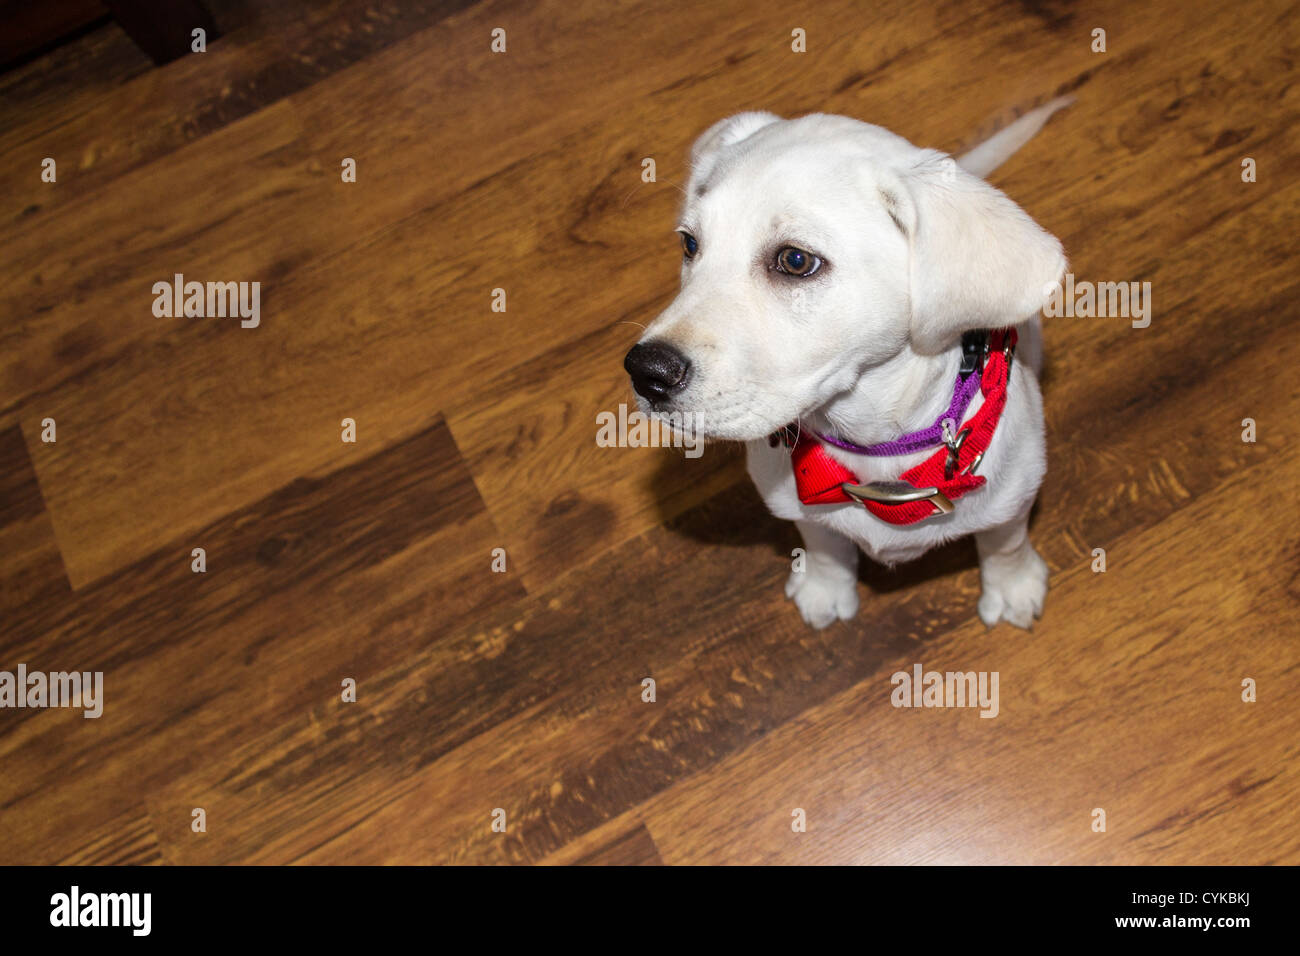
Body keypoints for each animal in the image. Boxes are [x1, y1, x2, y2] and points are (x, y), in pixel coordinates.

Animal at [624, 102, 1071, 629]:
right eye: (690, 244)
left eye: (796, 260)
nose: (645, 372)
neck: (872, 447)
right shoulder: (803, 508)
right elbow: (823, 544)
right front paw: (825, 588)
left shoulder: (1012, 500)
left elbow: (1004, 543)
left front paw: (1012, 587)